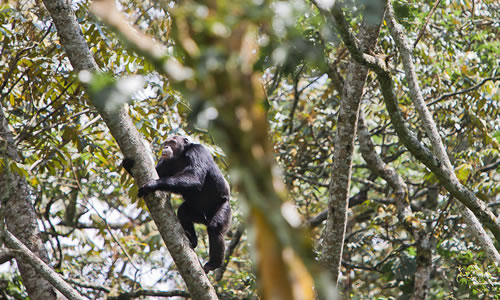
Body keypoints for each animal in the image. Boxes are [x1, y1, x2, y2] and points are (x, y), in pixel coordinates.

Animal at [122, 135, 231, 272]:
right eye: (166, 143)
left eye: (172, 142)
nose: (166, 147)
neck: (181, 155)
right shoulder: (166, 162)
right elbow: (157, 172)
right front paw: (127, 164)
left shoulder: (198, 151)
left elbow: (194, 177)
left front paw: (153, 184)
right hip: (200, 214)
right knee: (183, 212)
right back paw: (193, 240)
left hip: (225, 208)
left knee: (215, 227)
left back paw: (214, 263)